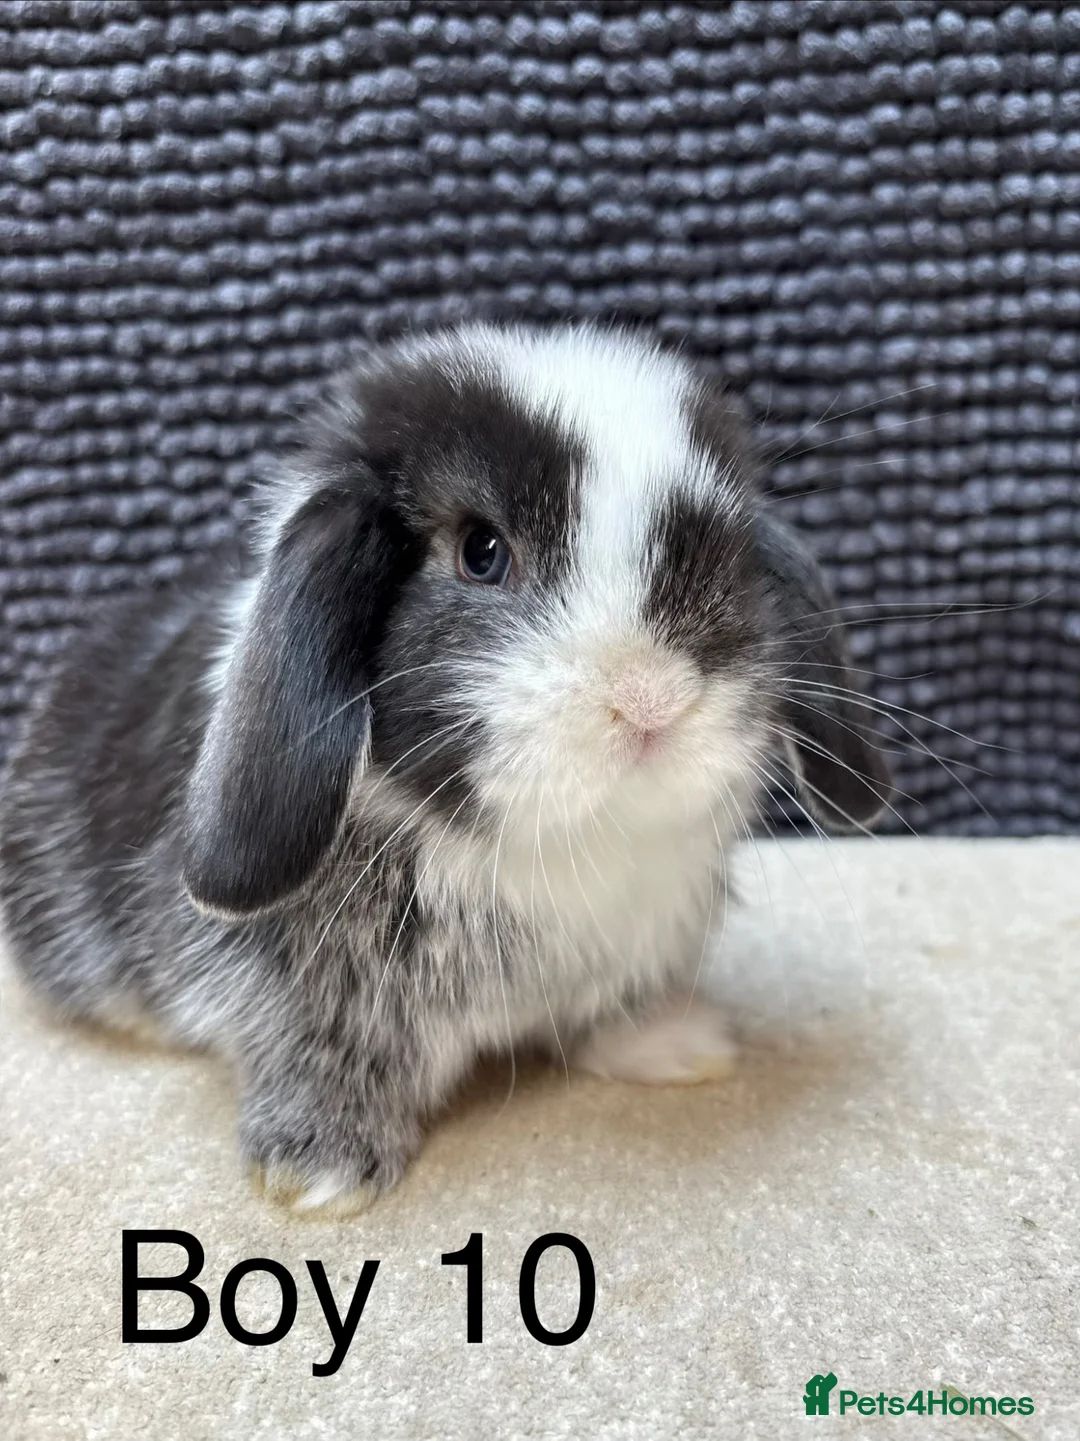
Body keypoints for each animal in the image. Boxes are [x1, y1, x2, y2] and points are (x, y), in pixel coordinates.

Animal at [0, 323, 891, 1215]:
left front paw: (677, 1044)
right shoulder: (302, 994)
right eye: (480, 551)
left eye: (730, 555)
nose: (651, 698)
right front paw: (320, 1169)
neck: (559, 844)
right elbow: (316, 1046)